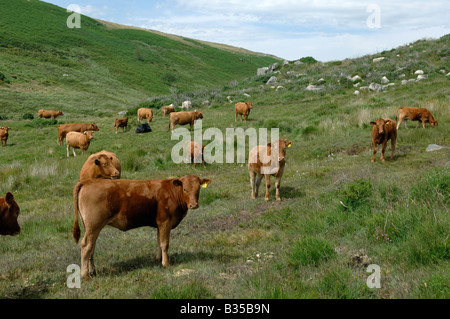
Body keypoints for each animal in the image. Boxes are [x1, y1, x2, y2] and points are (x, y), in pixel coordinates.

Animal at [72, 175, 213, 280]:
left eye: (198, 189)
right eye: (185, 189)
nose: (193, 205)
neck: (171, 192)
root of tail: (89, 181)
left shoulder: (159, 224)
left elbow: (159, 241)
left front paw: (158, 259)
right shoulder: (165, 222)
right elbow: (164, 243)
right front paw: (165, 264)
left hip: (91, 227)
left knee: (92, 247)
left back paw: (92, 271)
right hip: (94, 225)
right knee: (86, 246)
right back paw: (85, 275)